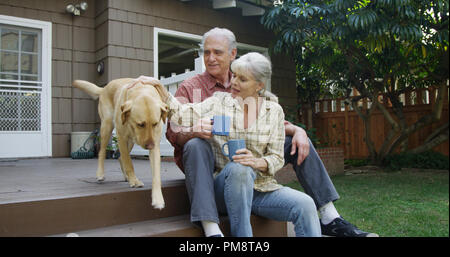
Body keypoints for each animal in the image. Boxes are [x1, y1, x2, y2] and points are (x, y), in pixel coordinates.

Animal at [74, 76, 169, 208]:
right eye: (140, 124)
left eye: (155, 123)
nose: (150, 145)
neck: (141, 90)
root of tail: (104, 88)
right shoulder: (121, 137)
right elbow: (129, 163)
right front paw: (134, 181)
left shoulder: (154, 143)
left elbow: (156, 174)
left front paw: (158, 199)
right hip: (107, 126)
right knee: (103, 152)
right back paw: (101, 174)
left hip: (131, 141)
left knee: (120, 157)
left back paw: (126, 177)